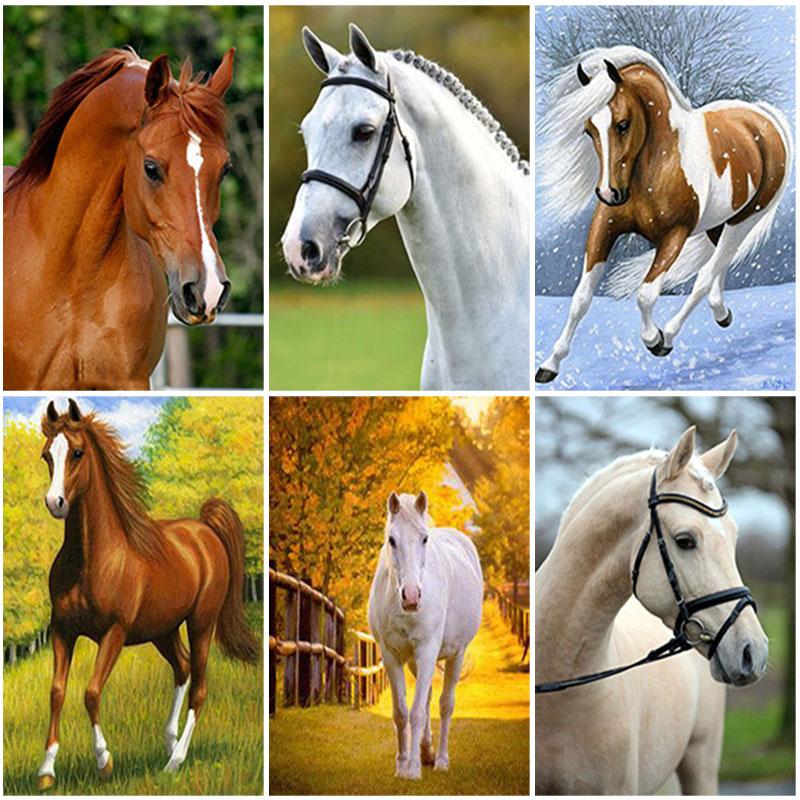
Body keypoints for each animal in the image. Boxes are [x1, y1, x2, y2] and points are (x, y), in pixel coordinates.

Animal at [35, 399, 259, 790]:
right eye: (48, 455)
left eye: (77, 453)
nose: (55, 502)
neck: (92, 558)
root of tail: (205, 529)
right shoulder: (61, 630)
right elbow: (57, 693)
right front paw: (47, 770)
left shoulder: (114, 632)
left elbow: (91, 692)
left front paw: (104, 760)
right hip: (163, 629)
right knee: (183, 668)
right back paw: (169, 742)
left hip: (201, 622)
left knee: (199, 686)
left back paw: (175, 760)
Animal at [368, 492, 482, 779]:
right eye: (391, 539)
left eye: (424, 538)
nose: (411, 596)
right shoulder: (391, 655)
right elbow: (401, 712)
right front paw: (402, 764)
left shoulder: (428, 650)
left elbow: (418, 711)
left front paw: (413, 770)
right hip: (415, 661)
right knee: (429, 699)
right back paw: (427, 752)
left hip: (456, 654)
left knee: (445, 704)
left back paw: (440, 759)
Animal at [535, 45, 792, 384]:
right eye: (589, 130)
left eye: (623, 124)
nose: (608, 194)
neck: (657, 165)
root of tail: (764, 116)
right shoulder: (604, 226)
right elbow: (580, 299)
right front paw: (549, 365)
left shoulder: (674, 235)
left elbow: (646, 293)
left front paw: (654, 339)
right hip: (719, 224)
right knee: (717, 268)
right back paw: (721, 314)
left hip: (744, 219)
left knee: (705, 277)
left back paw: (670, 335)